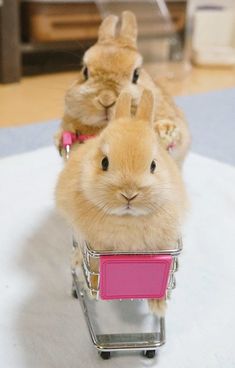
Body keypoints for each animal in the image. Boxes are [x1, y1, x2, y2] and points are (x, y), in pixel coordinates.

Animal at [55, 90, 187, 316]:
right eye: (104, 162)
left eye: (153, 165)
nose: (129, 194)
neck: (127, 219)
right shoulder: (95, 249)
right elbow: (93, 269)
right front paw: (91, 289)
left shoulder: (165, 249)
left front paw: (158, 307)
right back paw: (77, 263)